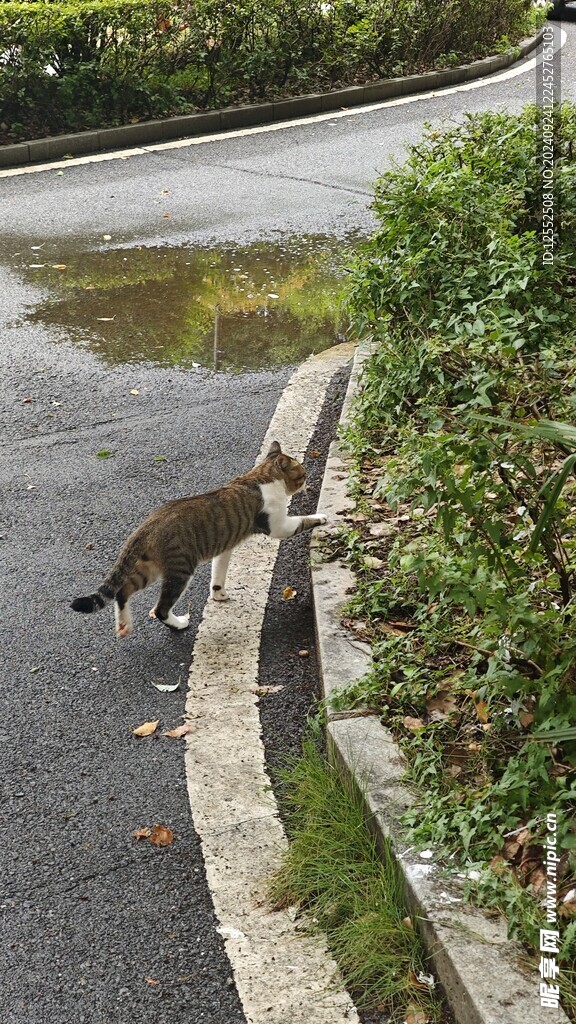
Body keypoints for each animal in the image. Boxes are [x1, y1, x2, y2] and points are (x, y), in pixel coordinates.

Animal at [69, 442, 325, 634]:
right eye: (302, 474)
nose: (309, 483)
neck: (260, 476)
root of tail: (148, 524)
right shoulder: (278, 526)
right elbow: (303, 520)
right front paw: (321, 516)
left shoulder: (225, 546)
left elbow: (218, 574)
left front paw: (218, 594)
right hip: (180, 569)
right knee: (160, 608)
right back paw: (178, 623)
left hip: (148, 568)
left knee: (122, 591)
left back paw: (124, 625)